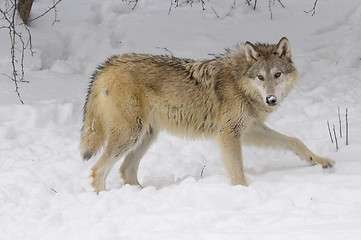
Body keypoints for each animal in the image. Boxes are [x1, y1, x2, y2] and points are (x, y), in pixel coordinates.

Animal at [81, 38, 332, 195]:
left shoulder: (250, 130)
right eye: (261, 77)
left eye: (277, 75)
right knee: (97, 170)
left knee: (126, 169)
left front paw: (320, 161)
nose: (271, 99)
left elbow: (295, 141)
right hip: (131, 135)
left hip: (146, 136)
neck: (240, 83)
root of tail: (106, 65)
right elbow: (237, 171)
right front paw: (244, 193)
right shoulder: (229, 134)